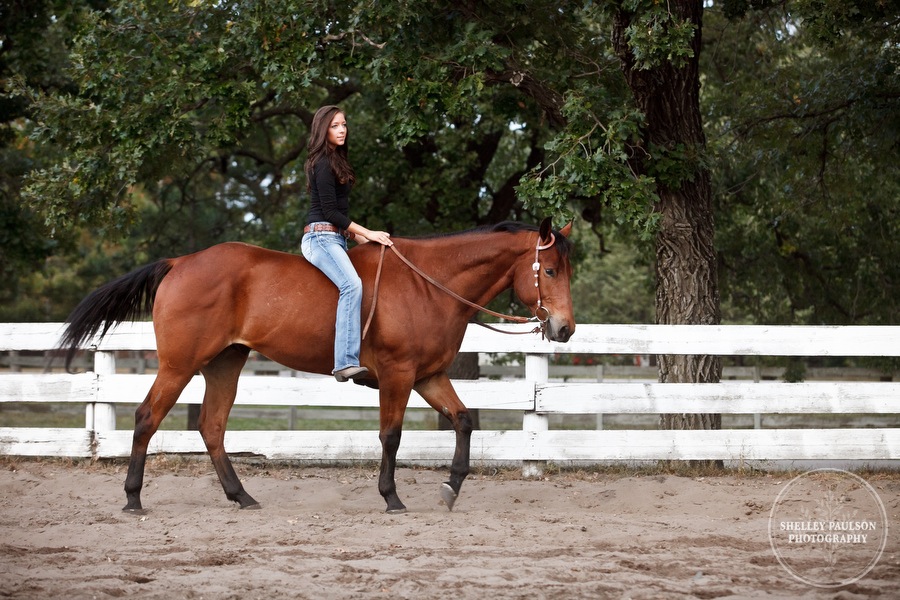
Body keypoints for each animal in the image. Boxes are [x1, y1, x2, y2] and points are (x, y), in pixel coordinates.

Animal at [58, 218, 576, 512]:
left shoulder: (429, 376)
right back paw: (133, 499)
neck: (429, 284)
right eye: (550, 270)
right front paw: (391, 497)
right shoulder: (399, 375)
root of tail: (180, 261)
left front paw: (451, 487)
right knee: (147, 418)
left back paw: (241, 496)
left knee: (212, 426)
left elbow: (464, 420)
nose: (565, 329)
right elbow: (391, 436)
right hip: (179, 364)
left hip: (225, 364)